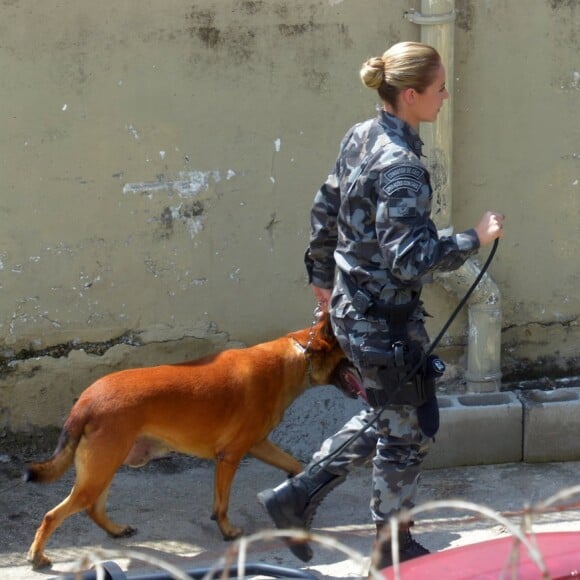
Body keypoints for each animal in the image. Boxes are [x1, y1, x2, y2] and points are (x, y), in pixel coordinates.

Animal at [24, 314, 360, 568]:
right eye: (350, 351)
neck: (297, 356)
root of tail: (86, 401)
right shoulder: (231, 456)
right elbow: (222, 504)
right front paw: (228, 531)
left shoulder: (258, 445)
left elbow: (294, 464)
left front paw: (299, 489)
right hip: (99, 471)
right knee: (53, 515)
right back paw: (37, 556)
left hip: (105, 467)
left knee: (93, 508)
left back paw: (116, 530)